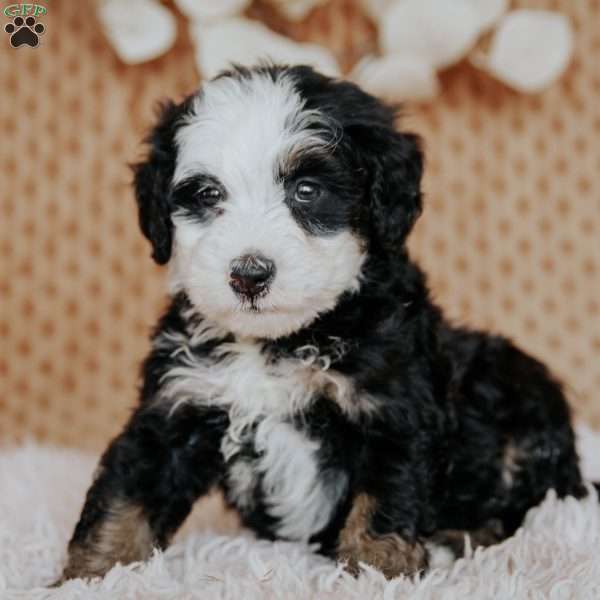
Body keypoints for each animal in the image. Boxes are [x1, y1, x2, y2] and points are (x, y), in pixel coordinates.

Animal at [61, 62, 584, 580]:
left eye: (307, 191)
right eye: (209, 194)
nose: (249, 274)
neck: (278, 343)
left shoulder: (392, 407)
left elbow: (383, 501)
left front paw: (376, 571)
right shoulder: (180, 399)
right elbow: (127, 494)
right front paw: (92, 573)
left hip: (523, 404)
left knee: (529, 508)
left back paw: (454, 542)